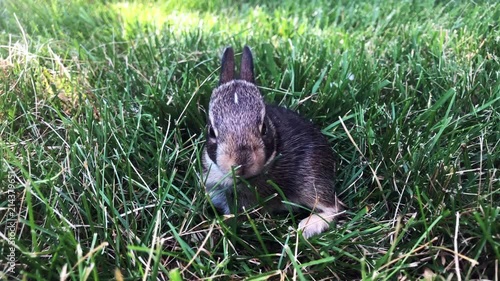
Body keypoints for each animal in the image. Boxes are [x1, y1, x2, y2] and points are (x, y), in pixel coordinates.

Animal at [201, 46, 342, 238]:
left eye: (264, 128)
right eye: (211, 131)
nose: (241, 163)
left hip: (311, 180)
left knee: (334, 207)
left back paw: (306, 227)